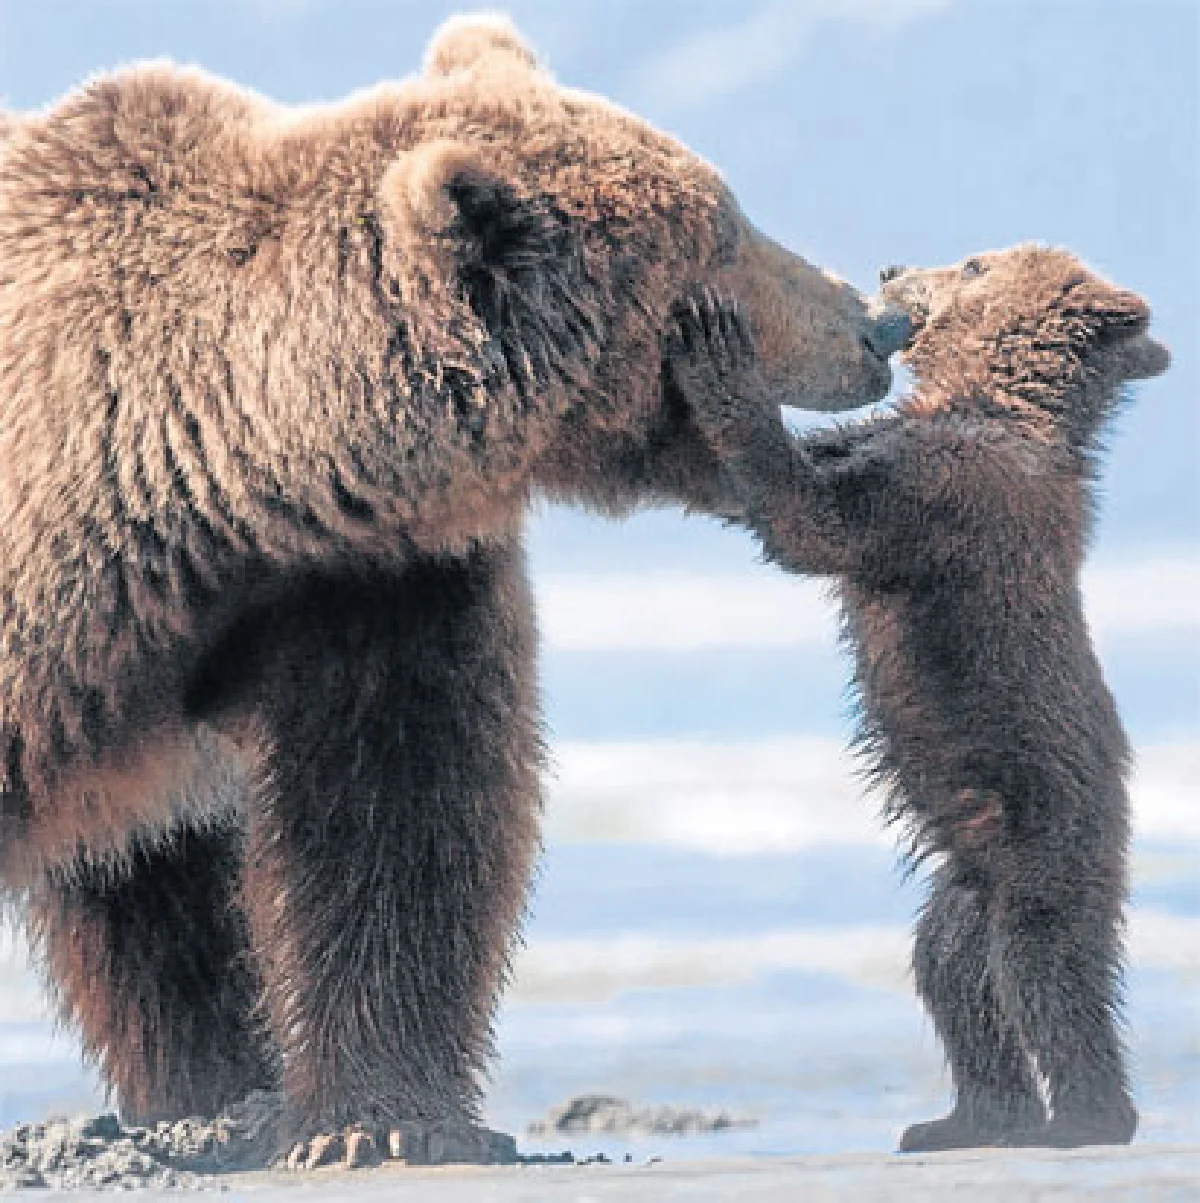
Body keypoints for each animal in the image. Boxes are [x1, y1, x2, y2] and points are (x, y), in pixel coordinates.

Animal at [666, 246, 1169, 1150]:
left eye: (973, 261)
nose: (891, 265)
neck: (992, 401)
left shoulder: (947, 493)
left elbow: (813, 520)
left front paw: (722, 354)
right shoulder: (897, 445)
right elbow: (806, 472)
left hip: (1049, 826)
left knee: (1046, 961)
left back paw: (1086, 1118)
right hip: (967, 876)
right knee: (955, 970)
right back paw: (963, 1117)